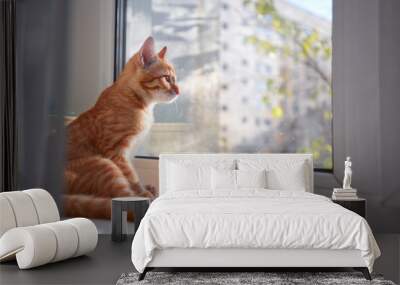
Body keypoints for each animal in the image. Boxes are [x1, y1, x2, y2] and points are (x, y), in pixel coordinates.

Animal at [64, 36, 180, 219]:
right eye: (167, 78)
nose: (179, 91)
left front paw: (146, 189)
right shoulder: (117, 153)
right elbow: (132, 179)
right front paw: (143, 192)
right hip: (104, 166)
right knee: (125, 202)